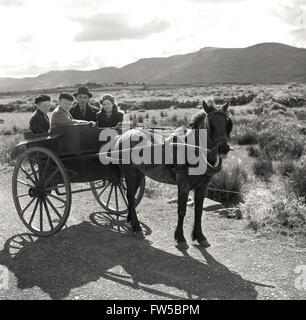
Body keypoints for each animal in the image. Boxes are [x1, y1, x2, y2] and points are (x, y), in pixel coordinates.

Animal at [115, 99, 232, 249]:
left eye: (227, 123)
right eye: (211, 124)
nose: (224, 148)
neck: (194, 149)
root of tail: (124, 135)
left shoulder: (203, 185)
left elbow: (199, 211)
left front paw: (200, 237)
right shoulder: (183, 183)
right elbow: (182, 210)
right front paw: (180, 238)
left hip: (139, 174)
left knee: (131, 196)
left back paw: (131, 221)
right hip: (129, 173)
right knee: (130, 196)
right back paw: (137, 228)